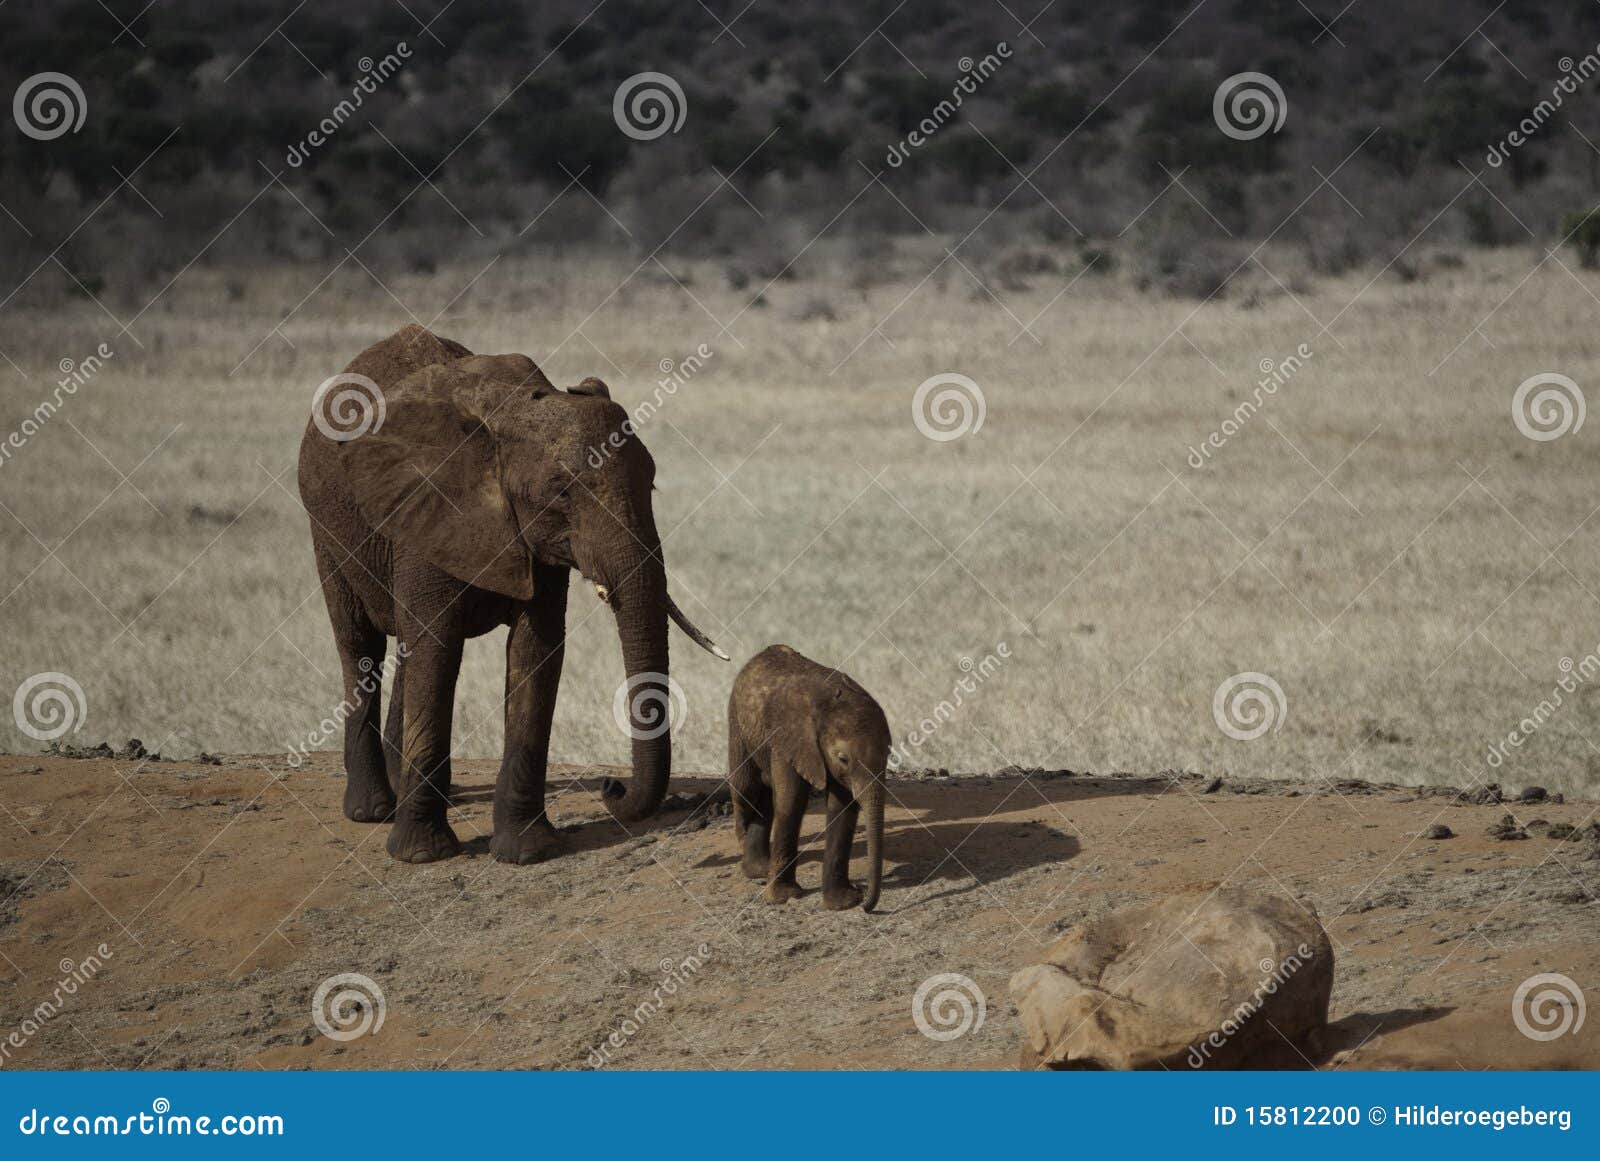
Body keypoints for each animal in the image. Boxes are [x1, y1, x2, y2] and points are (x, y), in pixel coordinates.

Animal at [297, 324, 726, 864]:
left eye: (651, 486)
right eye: (561, 493)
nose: (612, 785)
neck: (512, 415)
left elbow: (534, 650)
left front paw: (527, 851)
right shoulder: (426, 513)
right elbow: (438, 649)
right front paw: (422, 855)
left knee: (404, 650)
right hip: (327, 531)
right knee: (360, 647)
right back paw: (372, 810)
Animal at [727, 645, 887, 911]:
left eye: (889, 753)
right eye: (843, 758)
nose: (865, 903)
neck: (825, 706)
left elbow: (842, 808)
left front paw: (842, 903)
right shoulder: (789, 741)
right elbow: (791, 802)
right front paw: (784, 898)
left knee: (763, 796)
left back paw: (760, 869)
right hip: (738, 724)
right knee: (746, 789)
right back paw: (750, 858)